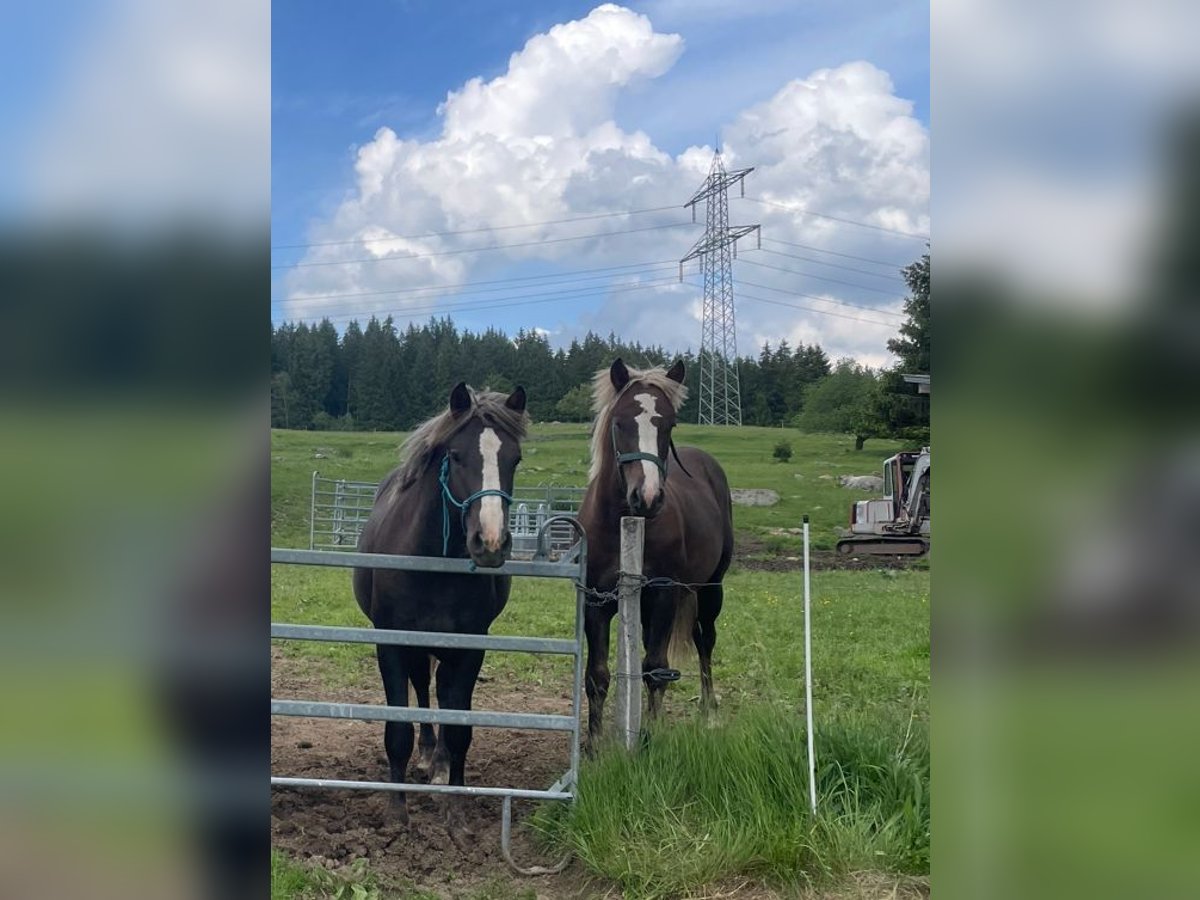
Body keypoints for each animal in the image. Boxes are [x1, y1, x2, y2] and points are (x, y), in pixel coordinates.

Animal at [352, 384, 528, 844]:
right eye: (456, 455)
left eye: (515, 458)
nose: (490, 542)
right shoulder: (393, 645)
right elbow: (398, 730)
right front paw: (397, 813)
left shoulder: (469, 649)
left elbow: (460, 728)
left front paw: (456, 813)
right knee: (423, 689)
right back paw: (428, 756)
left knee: (444, 695)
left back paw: (440, 763)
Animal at [578, 360, 734, 748]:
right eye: (620, 422)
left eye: (669, 424)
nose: (647, 496)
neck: (622, 523)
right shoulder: (596, 602)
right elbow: (597, 675)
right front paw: (593, 746)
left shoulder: (663, 595)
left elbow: (654, 668)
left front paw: (647, 735)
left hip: (710, 590)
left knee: (704, 641)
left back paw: (710, 712)